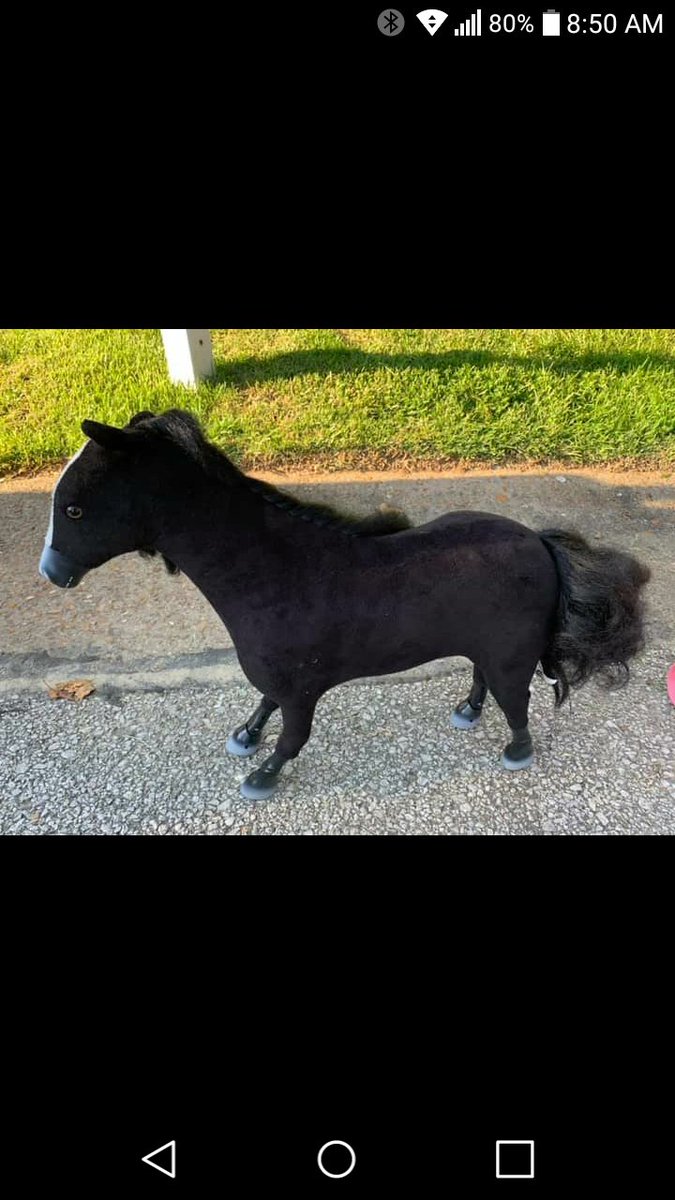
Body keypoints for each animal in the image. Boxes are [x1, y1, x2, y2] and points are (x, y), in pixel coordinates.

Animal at [39, 409, 651, 802]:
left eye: (73, 509)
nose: (51, 573)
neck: (273, 571)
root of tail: (541, 543)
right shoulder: (280, 680)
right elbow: (263, 705)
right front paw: (245, 736)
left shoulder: (302, 690)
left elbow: (291, 737)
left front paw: (261, 777)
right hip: (490, 646)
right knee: (482, 679)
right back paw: (467, 710)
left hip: (511, 654)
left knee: (515, 701)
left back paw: (516, 748)